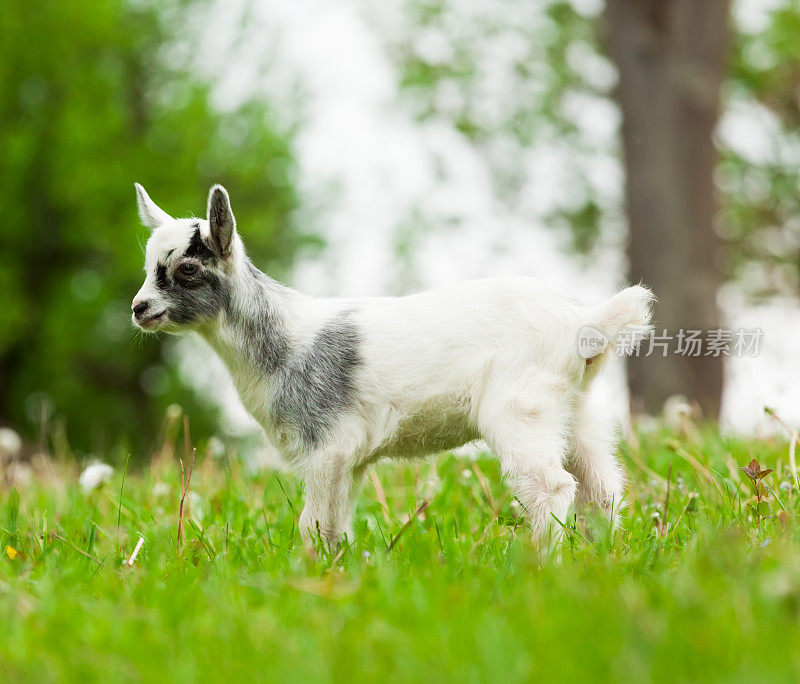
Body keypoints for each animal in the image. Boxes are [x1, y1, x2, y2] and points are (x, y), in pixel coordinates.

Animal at [133, 182, 656, 552]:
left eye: (187, 269)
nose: (139, 309)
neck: (283, 340)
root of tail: (584, 323)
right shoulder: (350, 461)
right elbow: (334, 527)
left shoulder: (327, 448)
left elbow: (311, 525)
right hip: (576, 411)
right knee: (602, 489)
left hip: (520, 408)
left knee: (552, 485)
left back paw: (541, 563)